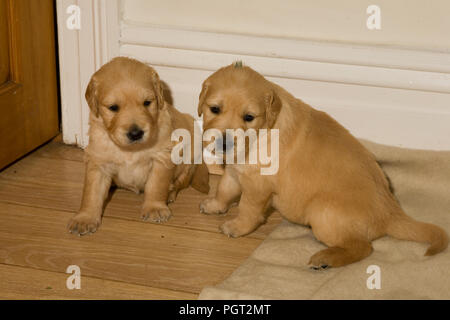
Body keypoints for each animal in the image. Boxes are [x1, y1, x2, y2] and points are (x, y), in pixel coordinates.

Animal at [68, 57, 209, 235]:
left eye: (147, 103)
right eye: (113, 107)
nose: (136, 133)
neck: (131, 150)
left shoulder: (161, 157)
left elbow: (156, 186)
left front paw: (155, 208)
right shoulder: (98, 161)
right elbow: (91, 193)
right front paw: (85, 218)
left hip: (192, 150)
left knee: (180, 182)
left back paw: (170, 194)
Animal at [199, 62, 448, 268]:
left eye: (249, 117)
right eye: (214, 109)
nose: (223, 142)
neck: (262, 133)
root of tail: (390, 212)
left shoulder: (257, 186)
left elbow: (248, 209)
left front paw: (236, 227)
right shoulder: (234, 171)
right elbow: (224, 190)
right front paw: (214, 206)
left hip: (322, 214)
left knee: (363, 247)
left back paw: (326, 259)